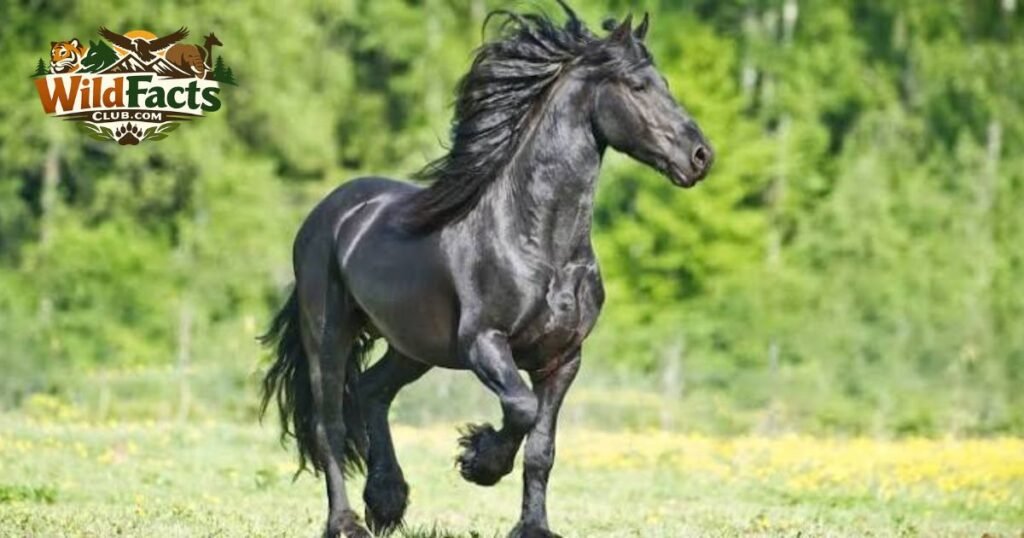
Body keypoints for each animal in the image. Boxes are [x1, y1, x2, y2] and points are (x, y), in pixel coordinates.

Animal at [260, 2, 714, 537]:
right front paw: (479, 462)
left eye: (664, 82)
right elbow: (520, 409)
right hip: (329, 336)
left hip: (413, 345)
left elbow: (542, 450)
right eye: (639, 86)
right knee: (328, 423)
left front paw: (533, 526)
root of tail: (328, 213)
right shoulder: (484, 343)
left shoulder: (563, 358)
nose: (701, 156)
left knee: (372, 392)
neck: (539, 244)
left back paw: (388, 501)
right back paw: (347, 521)